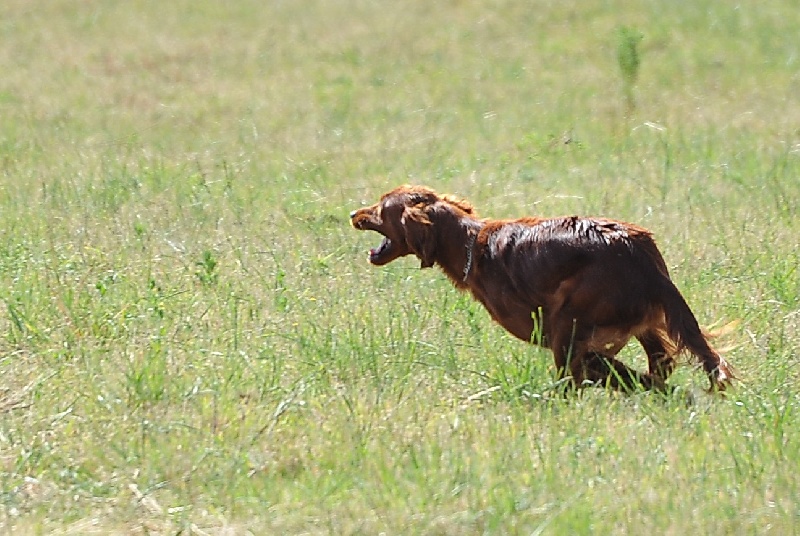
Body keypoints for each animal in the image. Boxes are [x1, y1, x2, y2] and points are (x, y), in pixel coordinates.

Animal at [350, 186, 732, 392]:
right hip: (640, 321)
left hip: (569, 319)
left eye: (381, 206)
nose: (354, 213)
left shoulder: (560, 336)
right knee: (661, 362)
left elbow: (604, 371)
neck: (470, 243)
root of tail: (637, 249)